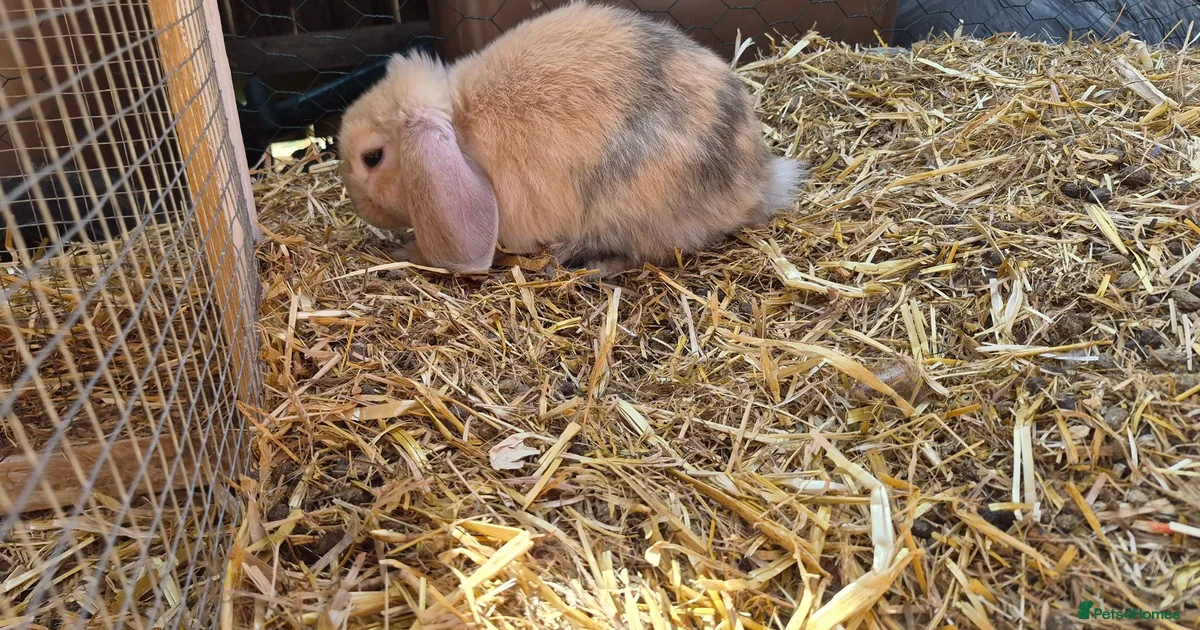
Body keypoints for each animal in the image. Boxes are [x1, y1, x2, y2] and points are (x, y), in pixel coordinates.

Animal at [337, 0, 805, 277]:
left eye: (372, 157)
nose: (360, 207)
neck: (459, 128)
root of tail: (757, 181)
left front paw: (402, 253)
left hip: (629, 209)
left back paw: (583, 263)